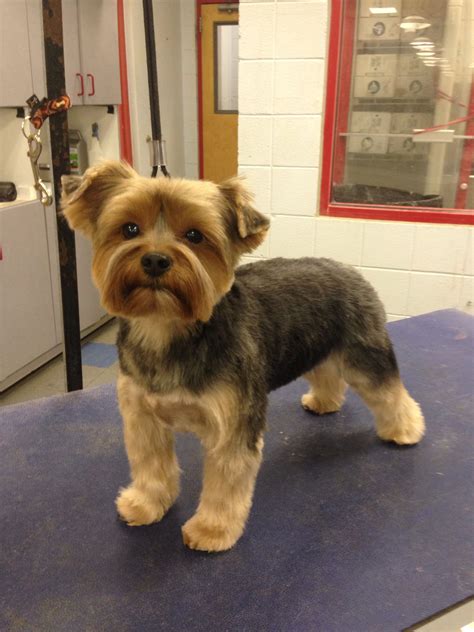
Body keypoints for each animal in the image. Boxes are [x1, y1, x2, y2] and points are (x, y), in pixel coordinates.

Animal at [60, 160, 426, 552]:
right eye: (129, 228)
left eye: (194, 236)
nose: (155, 260)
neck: (166, 328)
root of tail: (348, 269)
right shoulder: (142, 417)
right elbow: (150, 465)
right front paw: (146, 504)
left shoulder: (232, 421)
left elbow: (226, 480)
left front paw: (212, 529)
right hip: (315, 347)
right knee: (327, 374)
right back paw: (324, 402)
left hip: (364, 355)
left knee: (389, 392)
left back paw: (406, 429)